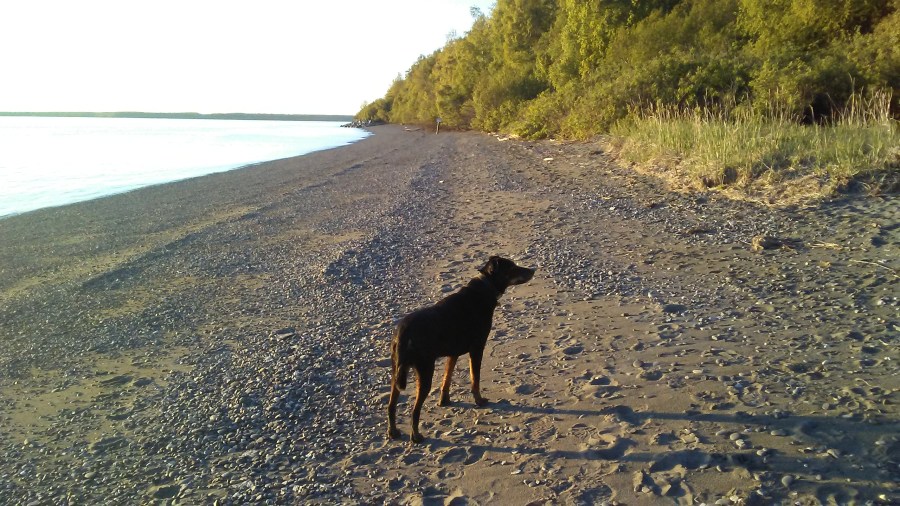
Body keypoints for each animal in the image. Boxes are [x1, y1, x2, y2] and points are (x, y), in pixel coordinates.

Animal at [387, 256, 536, 443]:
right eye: (512, 268)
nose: (533, 270)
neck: (485, 287)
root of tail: (403, 334)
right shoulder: (477, 348)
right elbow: (475, 379)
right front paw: (479, 400)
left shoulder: (453, 353)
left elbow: (447, 378)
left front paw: (444, 400)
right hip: (425, 369)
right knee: (415, 410)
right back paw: (416, 436)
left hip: (396, 369)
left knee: (391, 404)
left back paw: (393, 432)